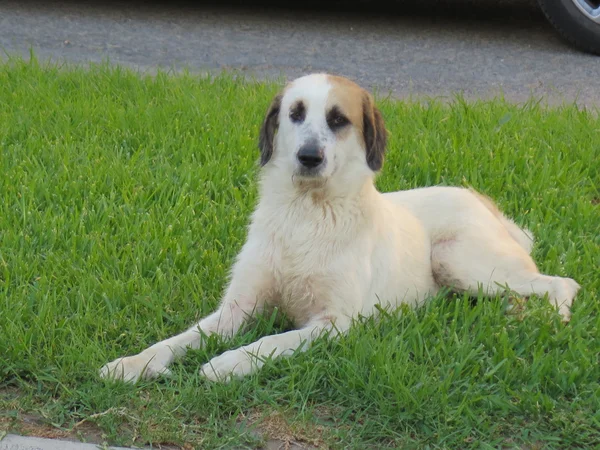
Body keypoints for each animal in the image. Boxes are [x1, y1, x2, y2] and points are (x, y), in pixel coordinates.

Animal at [99, 74, 580, 384]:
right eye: (295, 114)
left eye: (337, 120)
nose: (309, 157)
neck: (306, 215)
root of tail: (482, 201)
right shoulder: (236, 309)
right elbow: (179, 338)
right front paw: (134, 363)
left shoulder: (333, 323)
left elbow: (270, 342)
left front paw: (227, 364)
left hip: (458, 257)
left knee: (563, 283)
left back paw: (549, 319)